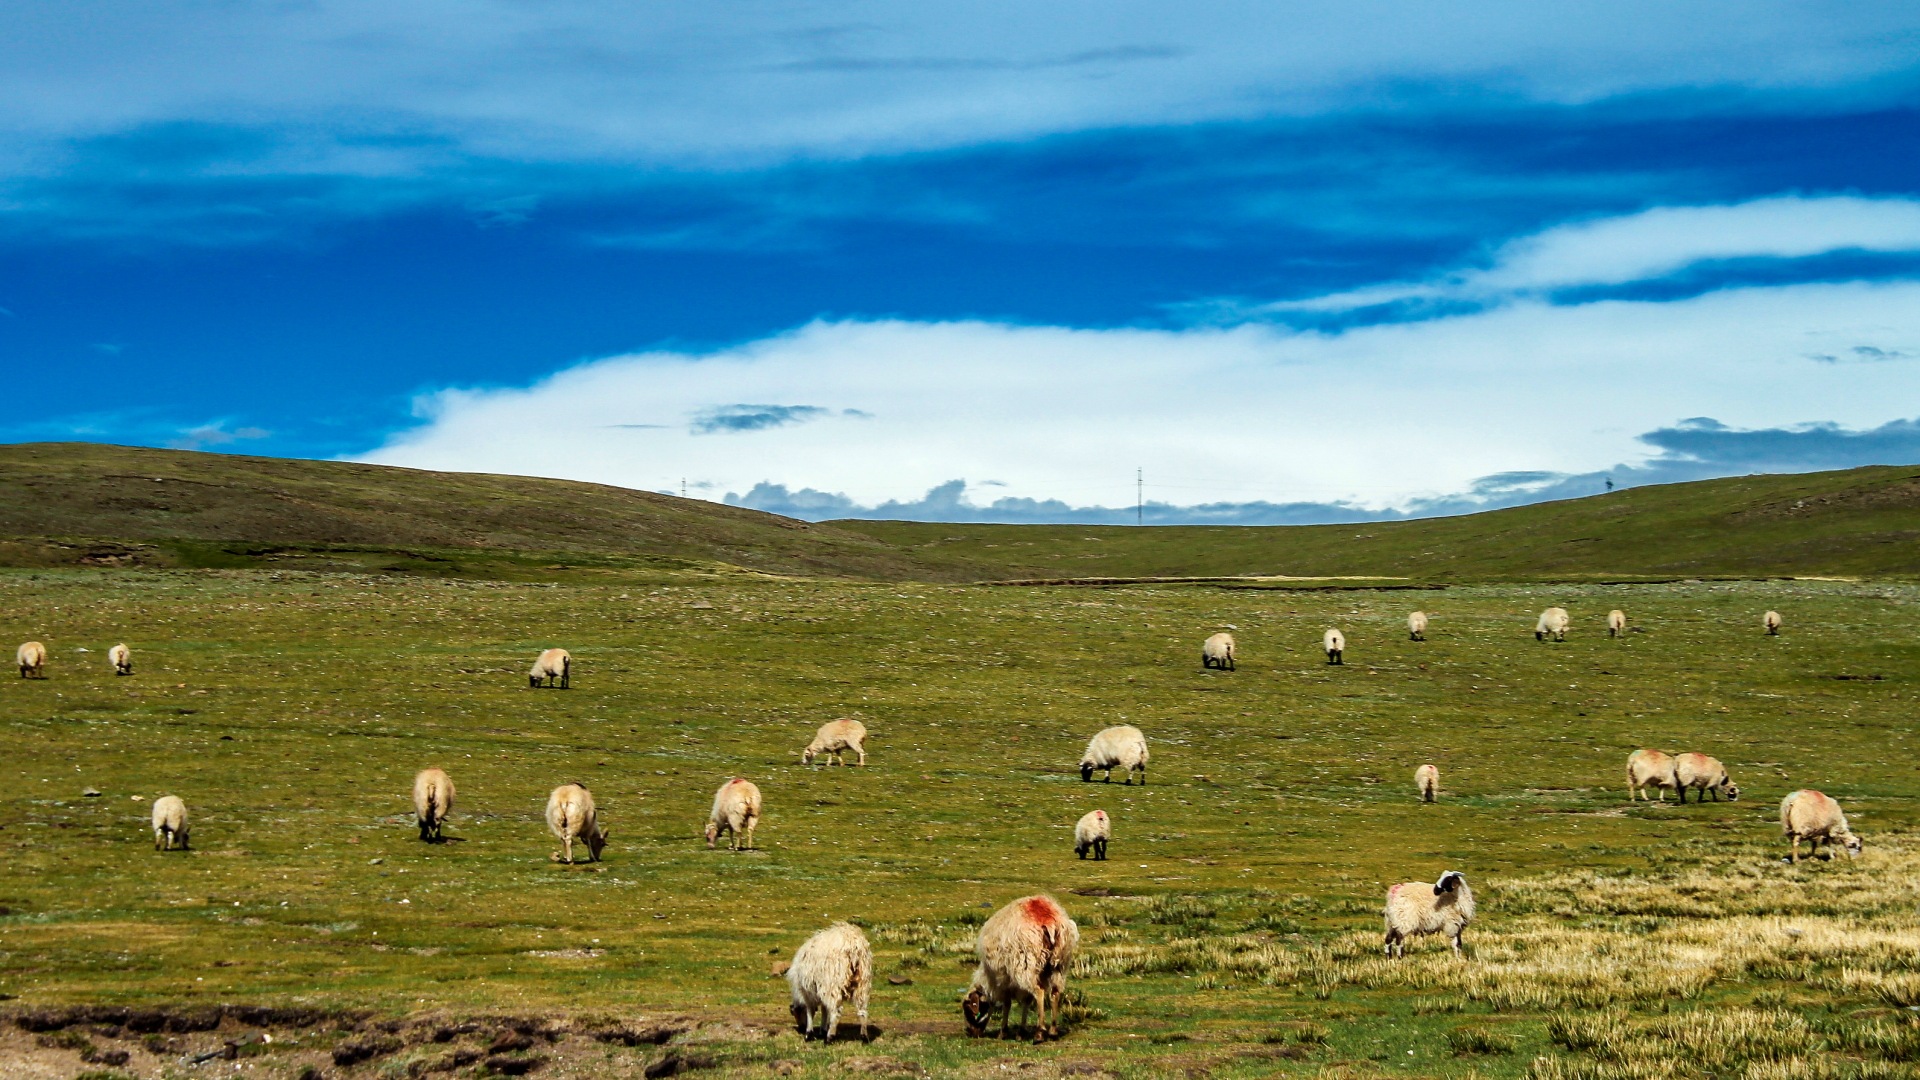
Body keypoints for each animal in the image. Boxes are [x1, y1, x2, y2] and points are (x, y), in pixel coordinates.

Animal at [960, 891, 1082, 1045]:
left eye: (969, 1009)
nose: (970, 1032)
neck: (988, 978)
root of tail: (1048, 919)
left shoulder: (1003, 978)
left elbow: (1007, 1004)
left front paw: (1003, 1032)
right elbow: (1026, 1002)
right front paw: (1020, 1032)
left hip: (1026, 963)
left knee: (1039, 991)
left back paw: (1039, 1033)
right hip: (1059, 963)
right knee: (1055, 992)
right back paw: (1053, 1031)